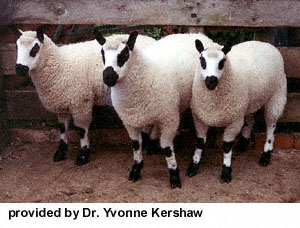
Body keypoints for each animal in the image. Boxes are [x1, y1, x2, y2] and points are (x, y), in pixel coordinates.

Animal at [14, 26, 155, 166]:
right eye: (17, 46)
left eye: (35, 48)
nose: (20, 69)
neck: (59, 64)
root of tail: (151, 39)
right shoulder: (62, 104)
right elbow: (62, 128)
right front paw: (60, 152)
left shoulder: (80, 101)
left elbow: (81, 130)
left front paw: (83, 154)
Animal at [96, 32, 216, 189]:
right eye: (102, 53)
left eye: (125, 53)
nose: (108, 77)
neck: (146, 71)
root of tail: (198, 34)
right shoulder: (129, 121)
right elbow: (136, 145)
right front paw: (136, 169)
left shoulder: (168, 119)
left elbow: (166, 148)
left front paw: (174, 175)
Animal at [189, 38, 288, 182]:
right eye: (202, 60)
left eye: (222, 62)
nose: (211, 81)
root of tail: (265, 43)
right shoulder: (199, 118)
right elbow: (200, 142)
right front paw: (194, 165)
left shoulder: (234, 121)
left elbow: (227, 145)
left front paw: (226, 171)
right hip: (250, 101)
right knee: (250, 119)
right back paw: (243, 144)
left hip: (276, 96)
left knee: (271, 125)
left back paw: (266, 155)